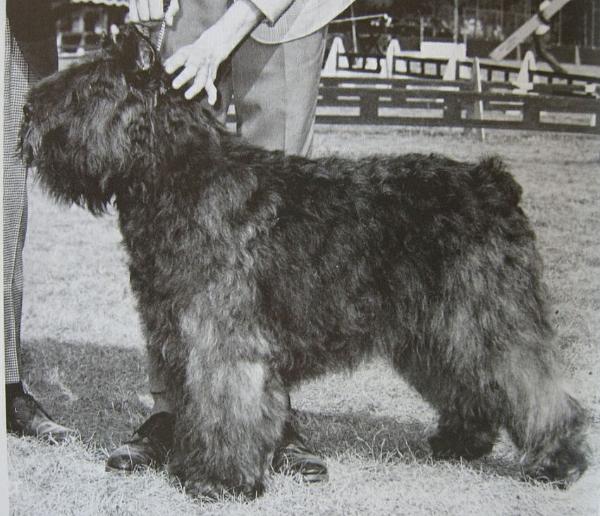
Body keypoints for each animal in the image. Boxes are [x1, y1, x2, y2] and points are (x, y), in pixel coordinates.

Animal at [21, 27, 588, 496]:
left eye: (85, 90)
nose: (28, 113)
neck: (177, 173)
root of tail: (491, 180)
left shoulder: (220, 337)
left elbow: (225, 407)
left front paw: (219, 480)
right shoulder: (174, 327)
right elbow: (196, 405)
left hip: (487, 318)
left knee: (533, 385)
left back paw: (559, 461)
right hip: (438, 329)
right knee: (472, 384)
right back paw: (460, 442)